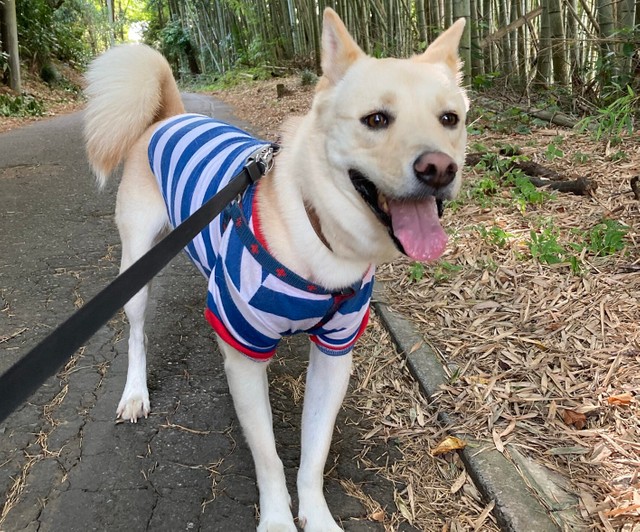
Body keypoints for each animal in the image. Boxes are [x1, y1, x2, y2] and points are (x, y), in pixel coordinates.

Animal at [82, 9, 468, 532]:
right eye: (376, 120)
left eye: (450, 119)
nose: (439, 168)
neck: (319, 235)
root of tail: (171, 117)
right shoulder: (249, 355)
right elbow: (267, 454)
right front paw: (279, 520)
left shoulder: (334, 353)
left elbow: (313, 453)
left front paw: (317, 516)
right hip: (137, 265)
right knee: (137, 334)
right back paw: (135, 393)